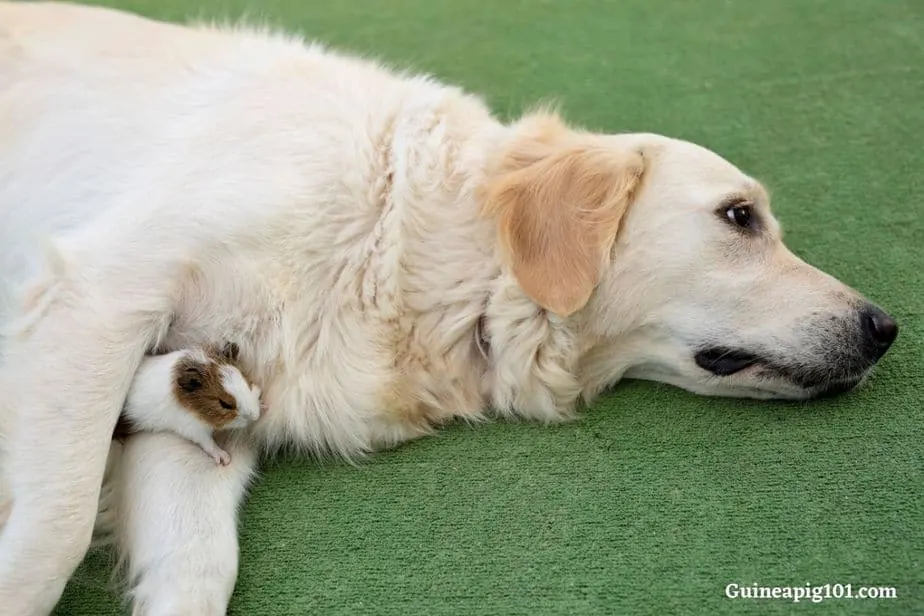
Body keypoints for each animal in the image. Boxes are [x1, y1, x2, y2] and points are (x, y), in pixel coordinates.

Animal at [0, 2, 896, 612]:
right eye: (739, 217)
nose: (885, 327)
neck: (408, 234)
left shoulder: (201, 398)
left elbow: (196, 567)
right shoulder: (101, 297)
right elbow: (55, 534)